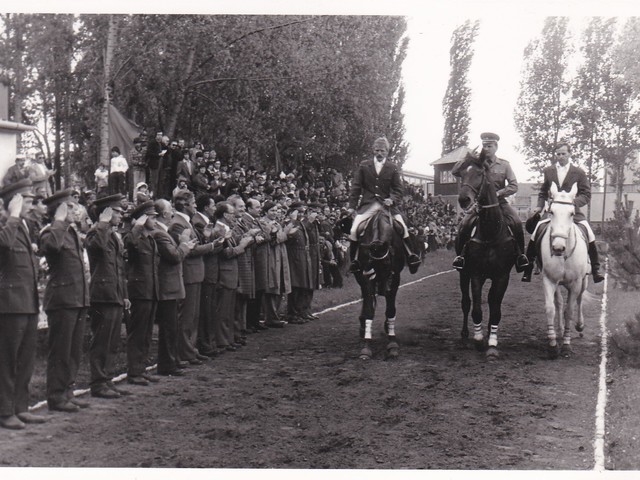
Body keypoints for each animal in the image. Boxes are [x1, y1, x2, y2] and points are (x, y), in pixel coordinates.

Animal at [356, 207, 404, 360]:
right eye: (371, 263)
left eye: (387, 263)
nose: (385, 288)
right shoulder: (366, 277)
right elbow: (369, 310)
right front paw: (366, 346)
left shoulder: (395, 278)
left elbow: (391, 310)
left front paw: (392, 343)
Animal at [458, 159, 516, 358]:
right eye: (462, 174)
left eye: (479, 174)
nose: (464, 200)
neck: (491, 232)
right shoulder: (476, 274)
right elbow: (476, 309)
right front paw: (478, 339)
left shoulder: (502, 277)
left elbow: (496, 309)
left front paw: (492, 343)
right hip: (463, 273)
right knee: (466, 303)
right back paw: (465, 335)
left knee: (491, 302)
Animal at [536, 182, 592, 358]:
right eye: (551, 211)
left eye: (572, 213)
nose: (558, 248)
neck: (564, 255)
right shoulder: (549, 280)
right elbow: (551, 308)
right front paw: (553, 344)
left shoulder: (575, 283)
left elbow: (570, 311)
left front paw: (567, 345)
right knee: (559, 302)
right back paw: (559, 331)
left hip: (584, 281)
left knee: (579, 299)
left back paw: (580, 326)